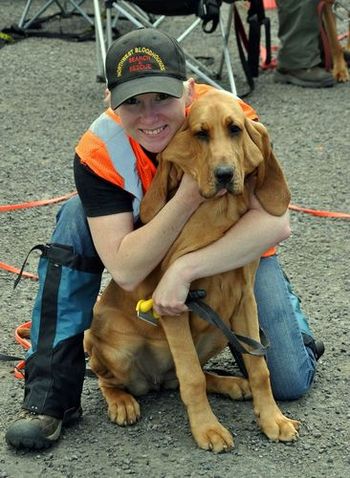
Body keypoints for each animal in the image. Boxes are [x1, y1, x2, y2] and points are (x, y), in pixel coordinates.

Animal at [85, 88, 300, 452]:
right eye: (200, 134)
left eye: (235, 129)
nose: (225, 174)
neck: (218, 210)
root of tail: (153, 381)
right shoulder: (174, 306)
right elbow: (192, 378)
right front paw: (208, 429)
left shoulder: (245, 299)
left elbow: (259, 368)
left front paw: (273, 419)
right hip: (110, 343)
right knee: (107, 378)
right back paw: (122, 402)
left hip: (219, 328)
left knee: (180, 377)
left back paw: (231, 383)